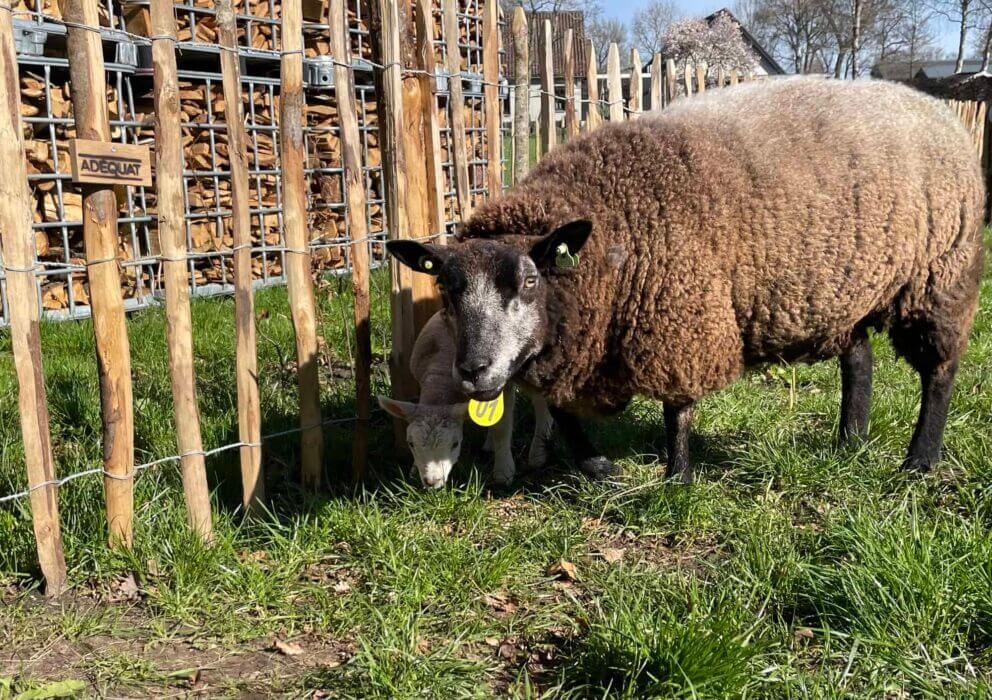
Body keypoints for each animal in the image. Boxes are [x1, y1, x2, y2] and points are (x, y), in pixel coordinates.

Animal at [376, 312, 556, 486]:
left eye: (455, 443)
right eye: (411, 443)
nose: (432, 482)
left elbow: (502, 427)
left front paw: (503, 472)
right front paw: (414, 470)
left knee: (538, 395)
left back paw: (538, 450)